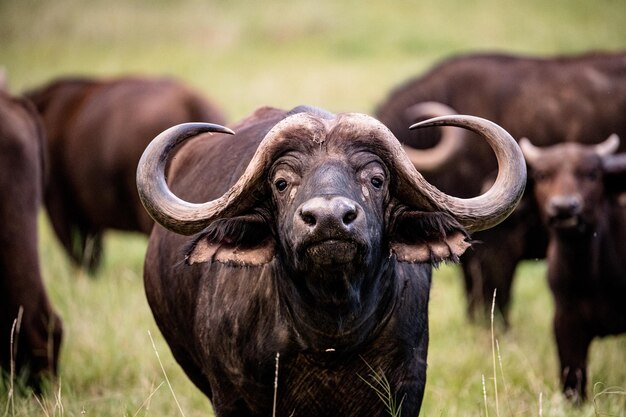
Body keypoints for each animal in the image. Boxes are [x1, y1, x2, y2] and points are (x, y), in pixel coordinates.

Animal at [138, 105, 528, 416]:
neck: (332, 336)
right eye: (281, 182)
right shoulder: (232, 396)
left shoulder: (406, 389)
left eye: (376, 179)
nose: (329, 218)